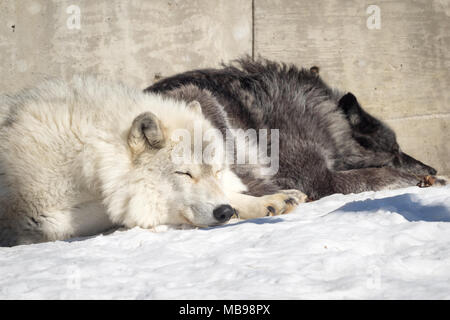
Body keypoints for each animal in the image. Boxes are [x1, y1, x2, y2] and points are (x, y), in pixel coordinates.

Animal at [0, 76, 306, 246]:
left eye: (216, 171)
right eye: (184, 174)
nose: (223, 213)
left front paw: (270, 201)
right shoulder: (33, 218)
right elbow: (129, 206)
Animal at [146, 55, 444, 200]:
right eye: (395, 150)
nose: (433, 169)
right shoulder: (321, 179)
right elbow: (379, 173)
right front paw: (428, 180)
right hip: (202, 102)